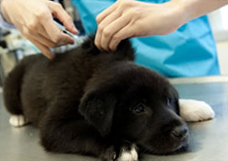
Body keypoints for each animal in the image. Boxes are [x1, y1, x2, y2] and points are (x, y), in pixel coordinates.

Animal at [3, 36, 188, 161]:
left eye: (168, 100)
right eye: (139, 108)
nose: (182, 131)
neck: (93, 71)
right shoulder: (53, 126)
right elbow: (88, 129)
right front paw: (120, 146)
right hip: (11, 84)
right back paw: (18, 117)